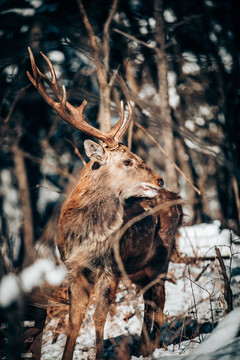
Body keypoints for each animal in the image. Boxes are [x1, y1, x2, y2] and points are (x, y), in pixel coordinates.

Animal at [26, 47, 182, 360]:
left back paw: (152, 347)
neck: (86, 238)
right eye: (127, 161)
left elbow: (99, 317)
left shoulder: (110, 266)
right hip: (139, 268)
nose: (159, 179)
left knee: (159, 297)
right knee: (150, 298)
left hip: (163, 256)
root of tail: (179, 202)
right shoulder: (73, 268)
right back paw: (144, 346)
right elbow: (75, 319)